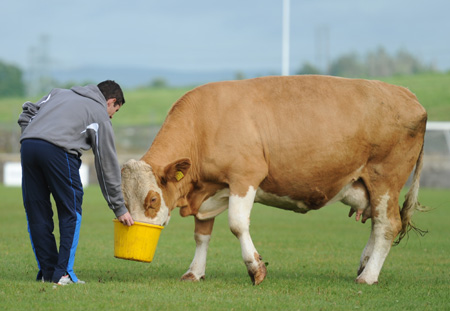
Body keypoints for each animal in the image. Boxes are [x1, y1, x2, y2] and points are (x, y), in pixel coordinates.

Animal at [121, 75, 428, 286]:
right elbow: (201, 234)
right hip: (370, 186)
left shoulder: (244, 176)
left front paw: (255, 269)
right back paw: (365, 265)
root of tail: (407, 94)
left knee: (388, 225)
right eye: (122, 200)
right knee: (377, 225)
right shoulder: (208, 189)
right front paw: (195, 272)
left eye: (152, 199)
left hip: (386, 179)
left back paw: (368, 276)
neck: (204, 125)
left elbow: (237, 224)